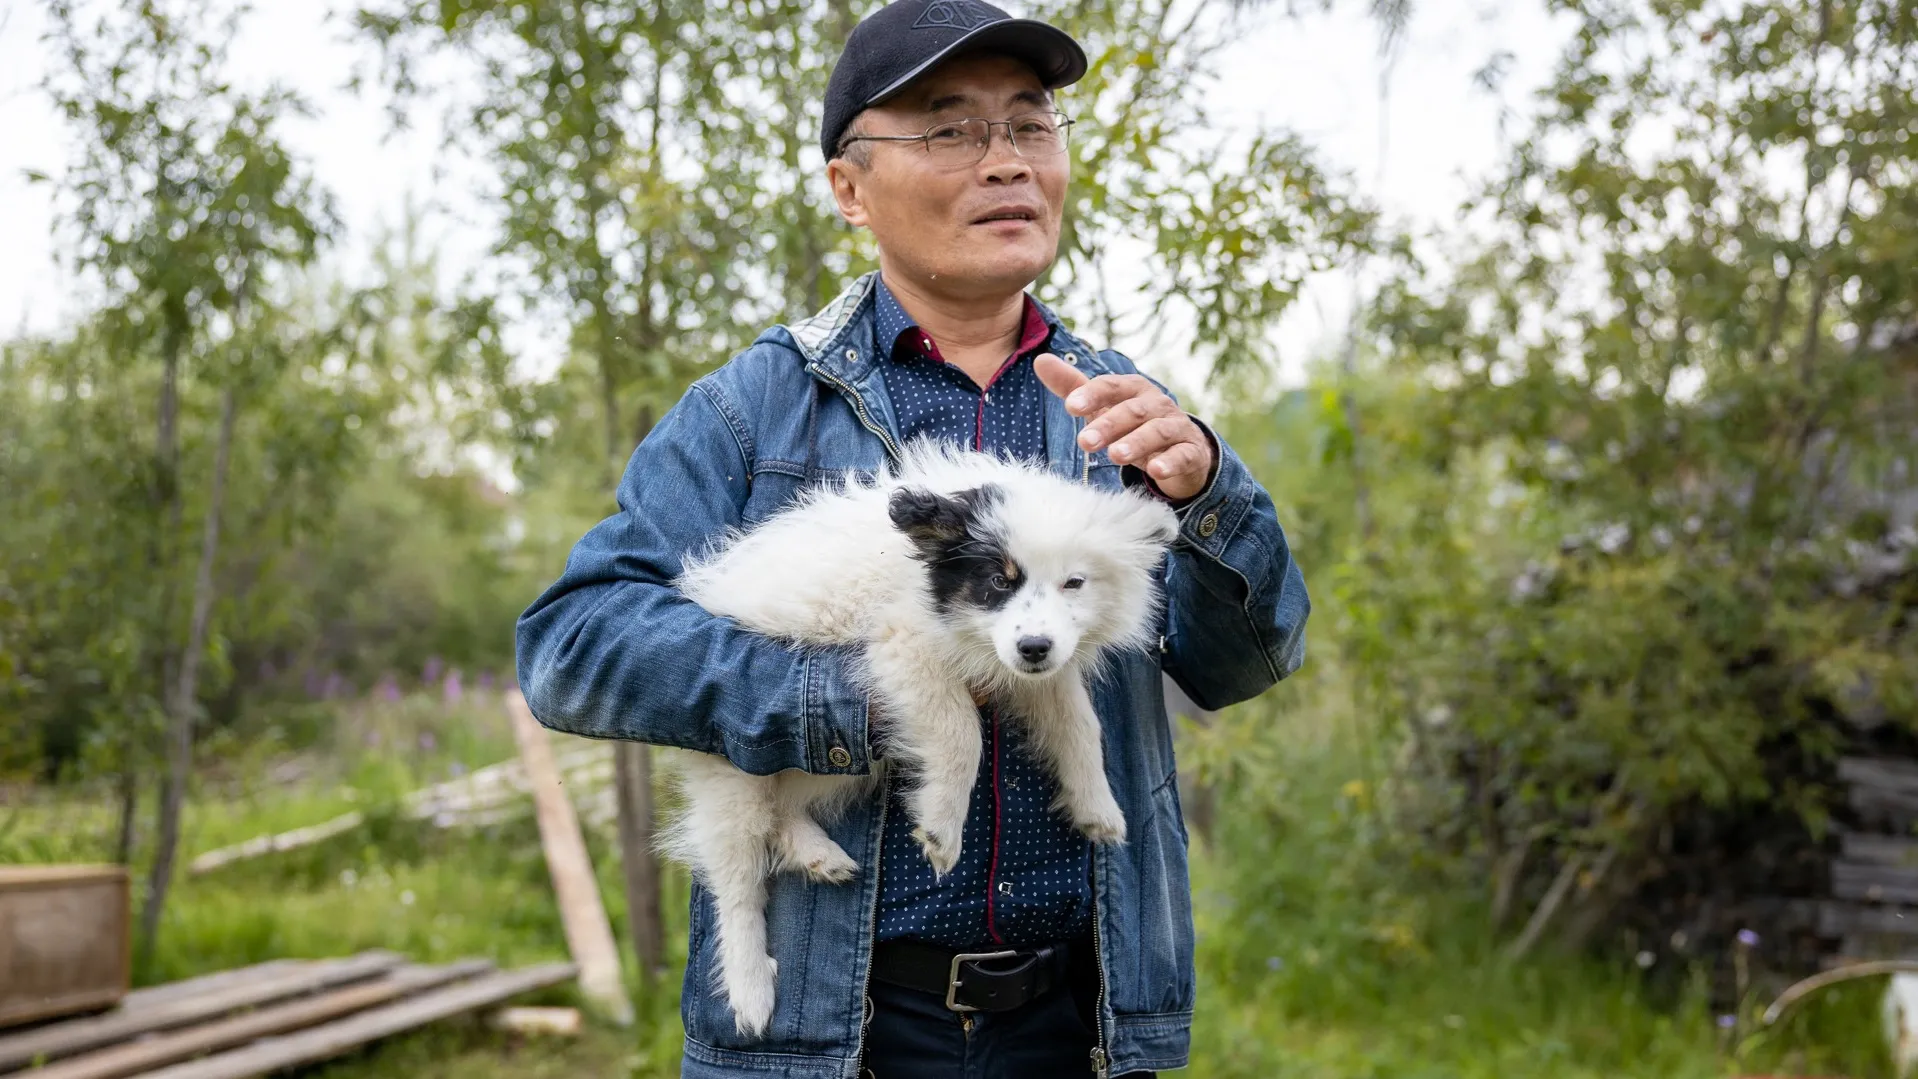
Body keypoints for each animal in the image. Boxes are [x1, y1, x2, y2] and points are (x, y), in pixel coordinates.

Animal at [671, 438, 1181, 1034]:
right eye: (999, 582)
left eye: (1074, 584)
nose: (1034, 647)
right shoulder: (906, 648)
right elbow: (962, 734)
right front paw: (942, 828)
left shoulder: (1021, 667)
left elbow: (1078, 721)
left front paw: (1098, 806)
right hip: (740, 760)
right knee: (738, 876)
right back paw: (750, 986)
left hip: (833, 758)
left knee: (786, 809)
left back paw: (819, 854)